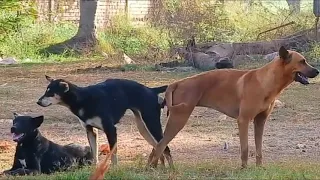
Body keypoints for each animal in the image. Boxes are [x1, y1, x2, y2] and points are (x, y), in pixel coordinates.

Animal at [37, 76, 172, 167]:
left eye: (51, 92)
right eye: (46, 91)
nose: (38, 102)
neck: (83, 99)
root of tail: (151, 90)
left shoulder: (110, 129)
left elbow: (113, 154)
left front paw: (115, 169)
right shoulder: (90, 131)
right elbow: (94, 152)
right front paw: (94, 168)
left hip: (152, 124)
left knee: (165, 147)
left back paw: (170, 168)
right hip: (143, 128)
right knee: (159, 147)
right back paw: (158, 168)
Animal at [149, 45, 318, 168]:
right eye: (302, 61)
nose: (317, 71)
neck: (266, 82)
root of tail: (177, 83)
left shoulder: (260, 121)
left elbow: (259, 149)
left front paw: (259, 168)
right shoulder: (243, 120)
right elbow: (245, 148)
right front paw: (244, 168)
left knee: (157, 145)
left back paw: (154, 166)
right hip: (179, 118)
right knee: (160, 145)